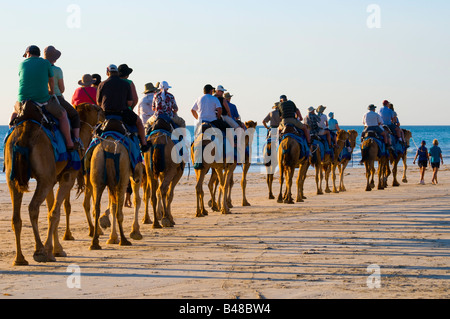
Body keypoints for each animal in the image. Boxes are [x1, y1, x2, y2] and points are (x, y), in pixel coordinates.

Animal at [4, 102, 94, 264]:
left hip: (12, 177)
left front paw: (56, 250)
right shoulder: (67, 177)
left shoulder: (51, 180)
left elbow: (50, 210)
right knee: (33, 207)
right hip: (45, 176)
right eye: (98, 109)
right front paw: (53, 251)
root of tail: (24, 134)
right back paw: (39, 251)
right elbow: (54, 213)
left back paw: (20, 258)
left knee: (16, 216)